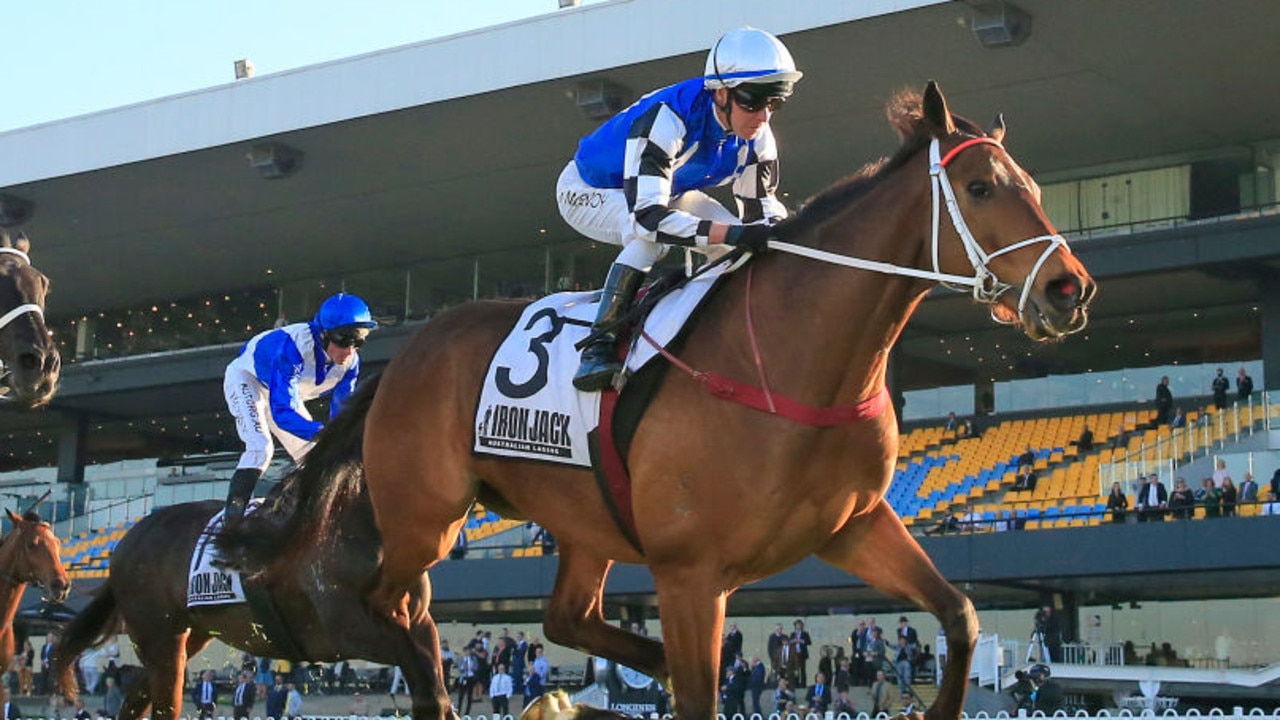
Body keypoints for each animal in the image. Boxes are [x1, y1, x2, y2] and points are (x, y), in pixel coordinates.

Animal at [51, 376, 435, 717]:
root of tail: (128, 540)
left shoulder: (417, 622)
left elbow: (430, 679)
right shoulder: (348, 627)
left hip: (191, 633)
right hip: (160, 639)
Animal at [267, 79, 1090, 717]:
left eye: (1035, 189)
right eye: (980, 188)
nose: (1069, 289)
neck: (792, 359)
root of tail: (406, 353)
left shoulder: (853, 525)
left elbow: (961, 615)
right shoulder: (691, 573)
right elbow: (700, 697)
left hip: (582, 521)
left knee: (562, 618)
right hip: (425, 516)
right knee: (396, 610)